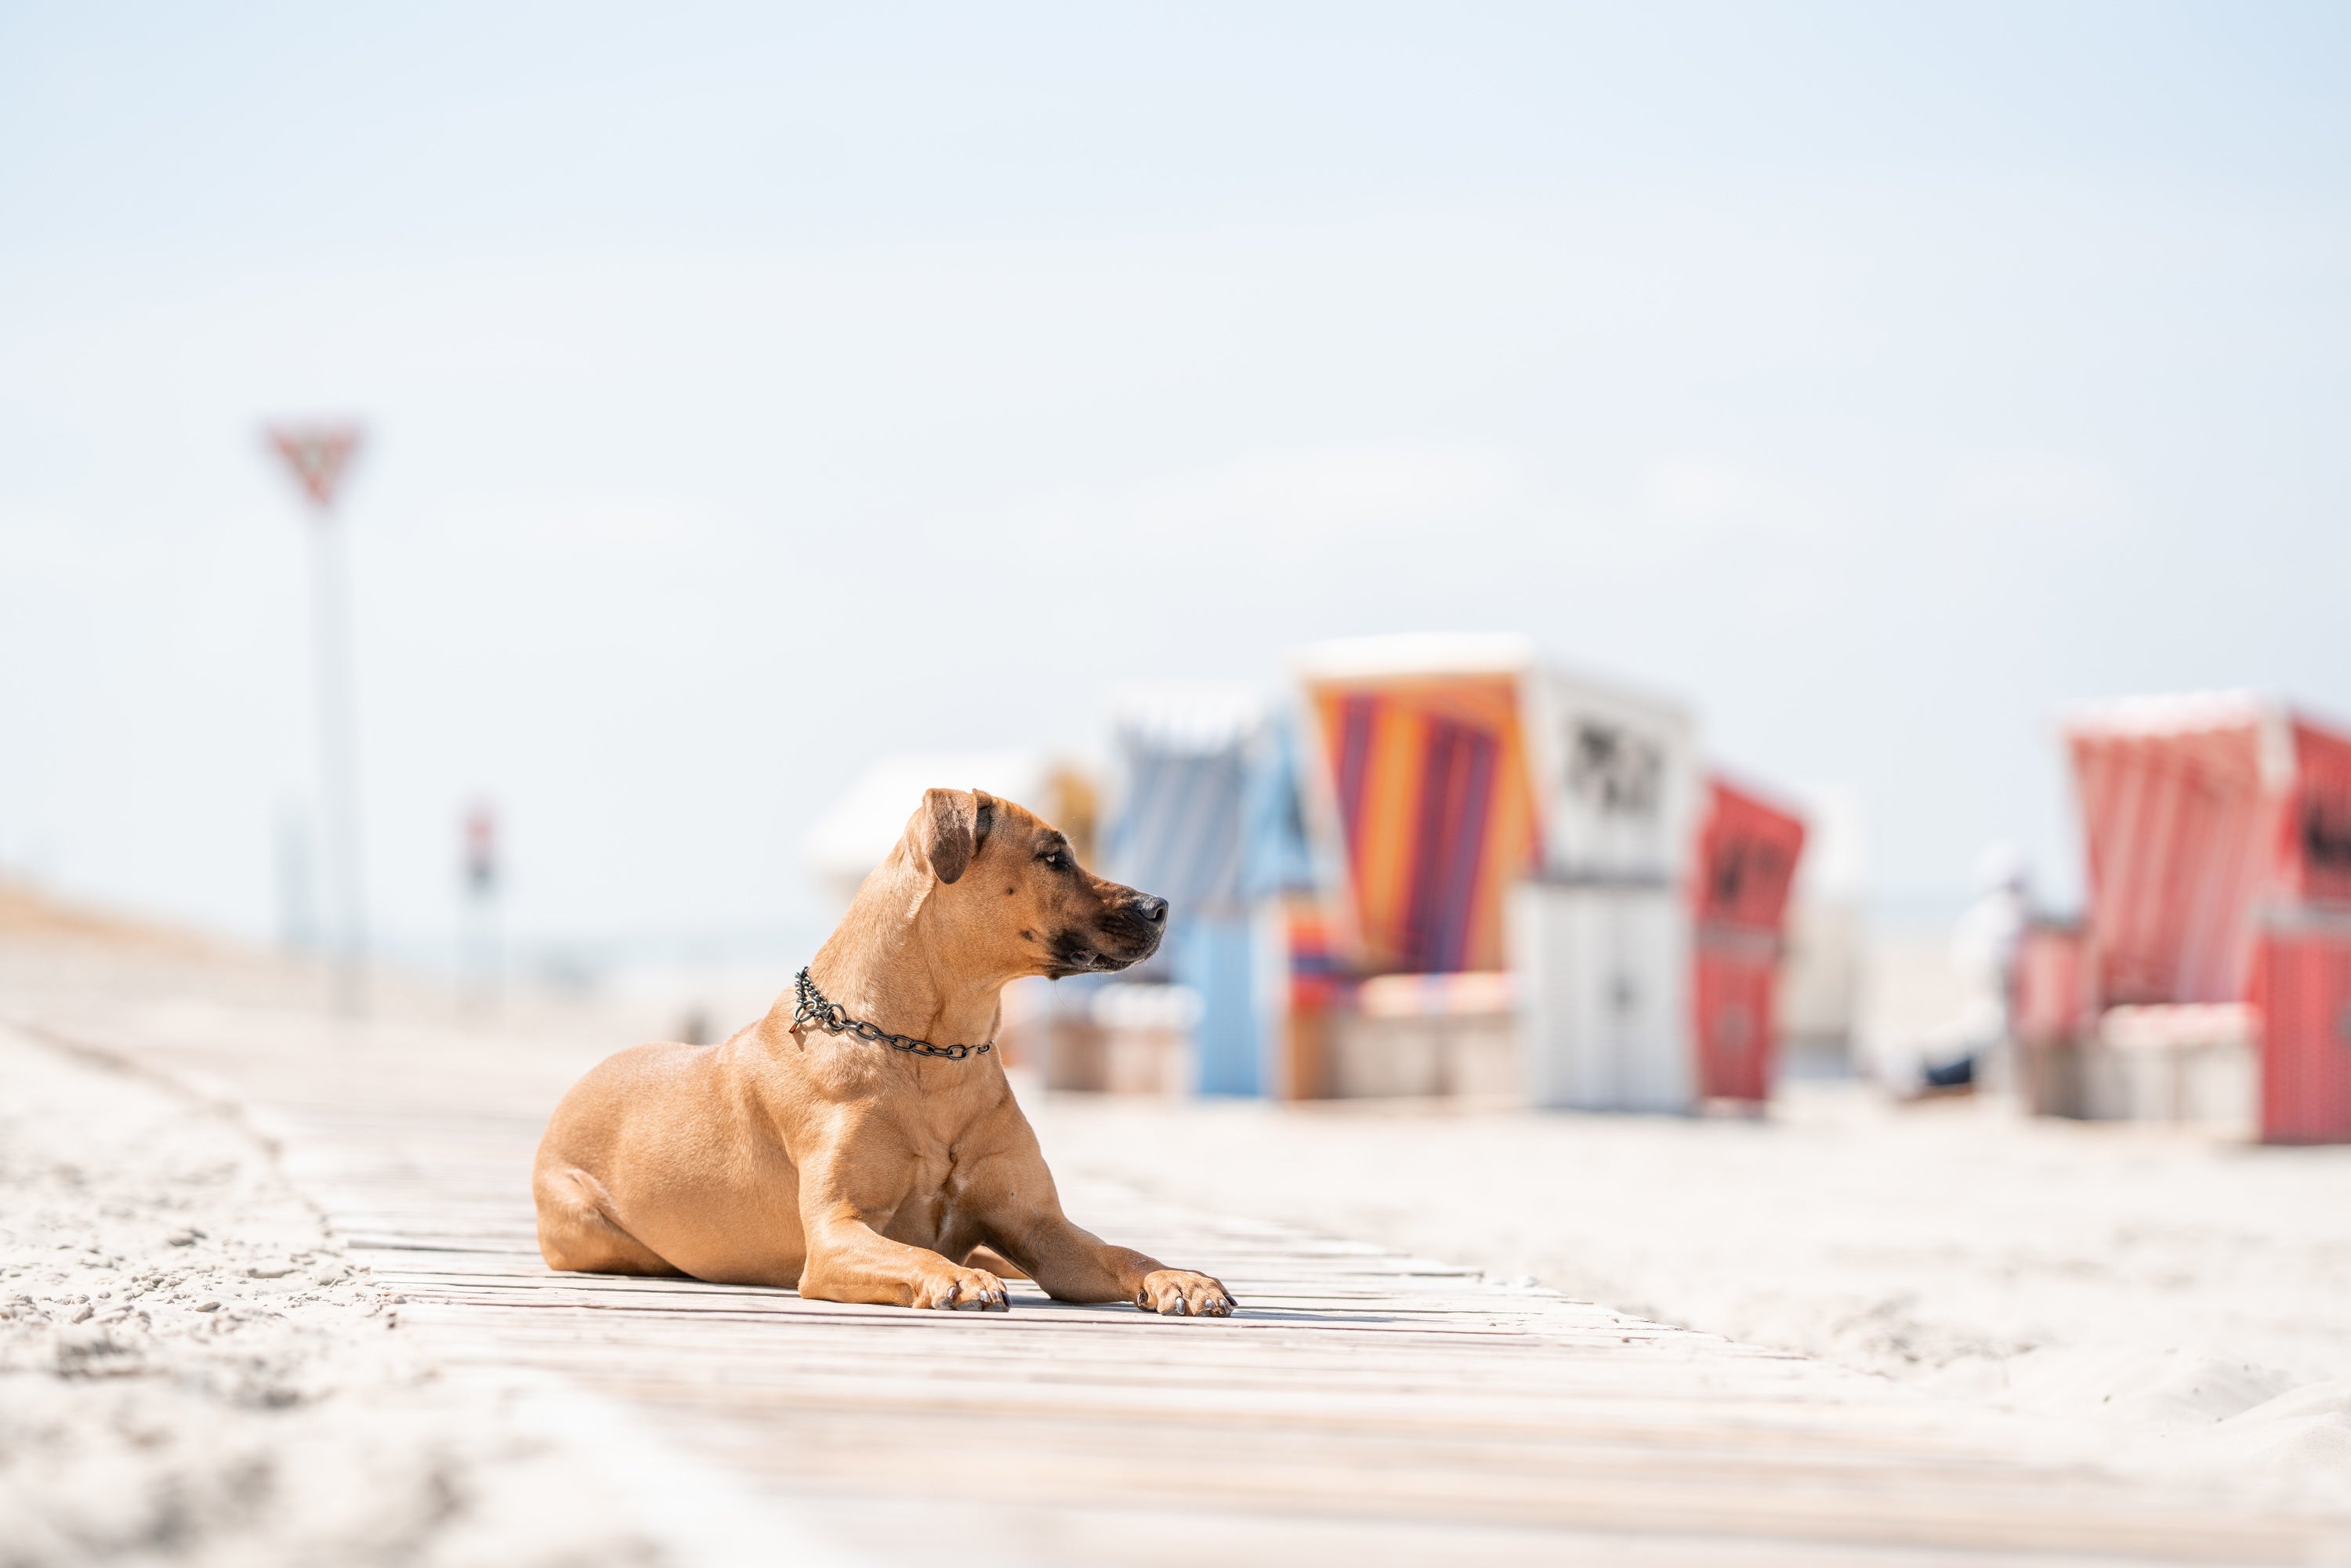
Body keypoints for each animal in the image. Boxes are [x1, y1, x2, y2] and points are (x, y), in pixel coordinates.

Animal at [529, 790, 1232, 1316]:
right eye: (1054, 856)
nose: (1160, 906)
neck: (936, 1051)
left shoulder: (1039, 1226)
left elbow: (1120, 1253)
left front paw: (1180, 1276)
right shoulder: (837, 1233)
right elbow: (912, 1252)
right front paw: (954, 1278)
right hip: (595, 1228)